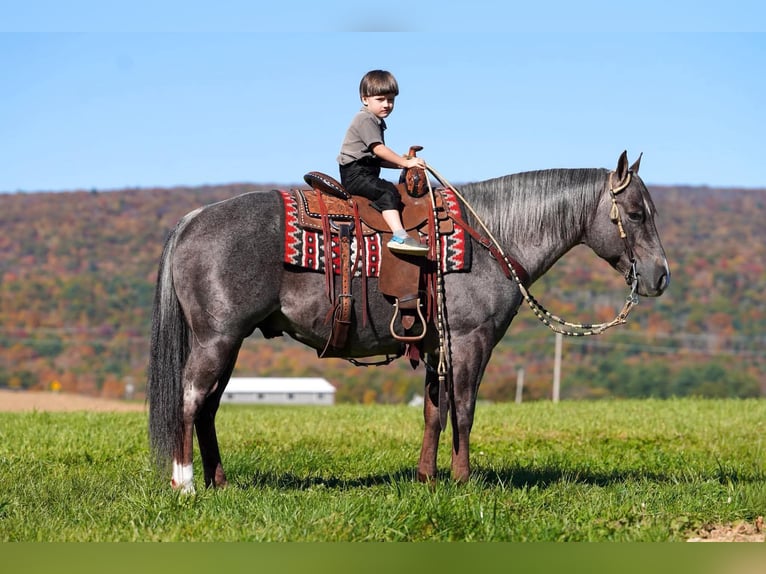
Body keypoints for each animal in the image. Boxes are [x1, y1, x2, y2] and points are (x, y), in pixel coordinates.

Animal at [147, 151, 670, 492]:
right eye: (636, 214)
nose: (660, 276)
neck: (491, 239)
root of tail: (193, 219)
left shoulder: (438, 346)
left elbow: (434, 411)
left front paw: (427, 477)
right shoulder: (470, 341)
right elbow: (464, 409)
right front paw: (462, 479)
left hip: (228, 342)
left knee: (208, 407)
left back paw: (218, 482)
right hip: (217, 339)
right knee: (191, 400)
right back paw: (185, 483)